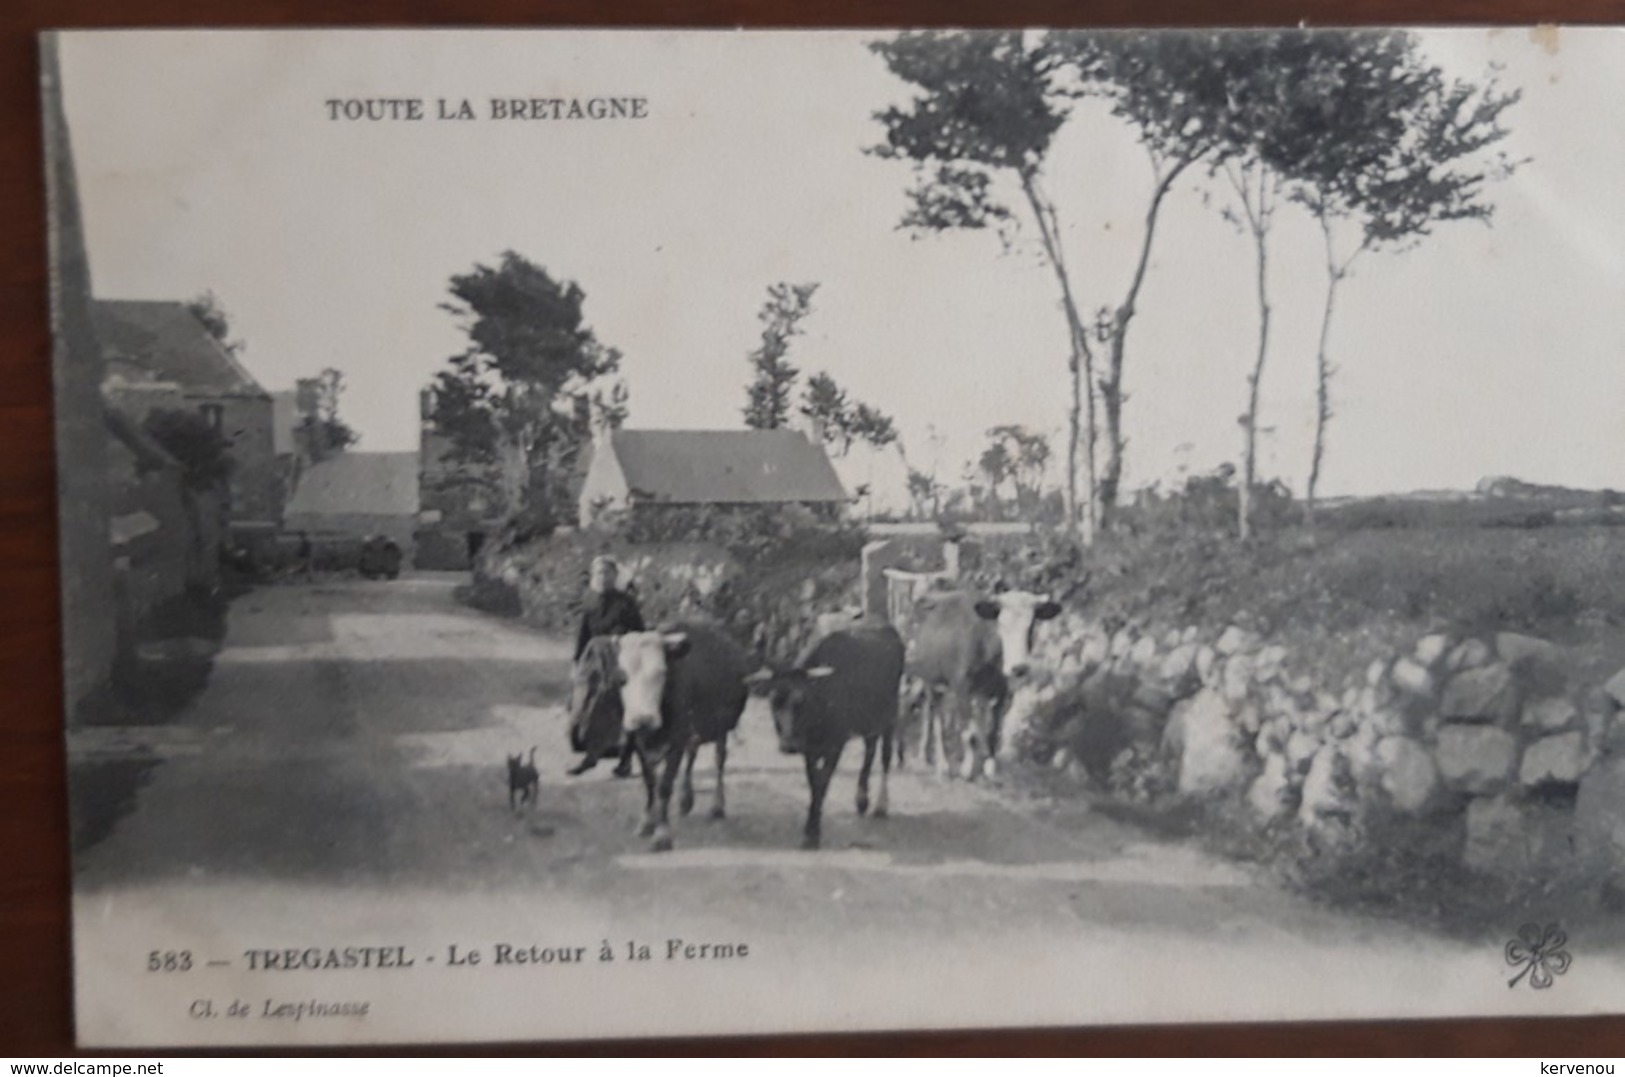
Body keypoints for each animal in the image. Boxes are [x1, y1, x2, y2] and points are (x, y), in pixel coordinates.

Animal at [568, 623, 750, 851]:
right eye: (621, 679)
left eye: (661, 673)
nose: (643, 718)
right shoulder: (637, 743)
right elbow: (650, 783)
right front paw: (648, 822)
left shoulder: (677, 741)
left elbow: (664, 786)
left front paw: (662, 835)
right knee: (693, 753)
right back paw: (686, 800)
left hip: (721, 728)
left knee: (719, 759)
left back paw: (717, 806)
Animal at [744, 623, 910, 851]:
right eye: (773, 701)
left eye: (801, 700)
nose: (788, 745)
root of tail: (889, 630)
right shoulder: (809, 749)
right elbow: (814, 783)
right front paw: (811, 829)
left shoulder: (835, 745)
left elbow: (822, 784)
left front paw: (812, 833)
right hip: (869, 720)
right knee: (869, 750)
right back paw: (861, 800)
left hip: (890, 715)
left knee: (885, 755)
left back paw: (881, 805)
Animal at [903, 591, 1066, 782]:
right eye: (1001, 624)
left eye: (1031, 626)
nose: (1019, 668)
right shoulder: (962, 687)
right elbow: (969, 733)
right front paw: (967, 770)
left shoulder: (1001, 690)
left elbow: (992, 731)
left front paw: (989, 768)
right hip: (929, 676)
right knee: (935, 716)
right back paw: (941, 763)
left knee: (931, 711)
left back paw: (928, 756)